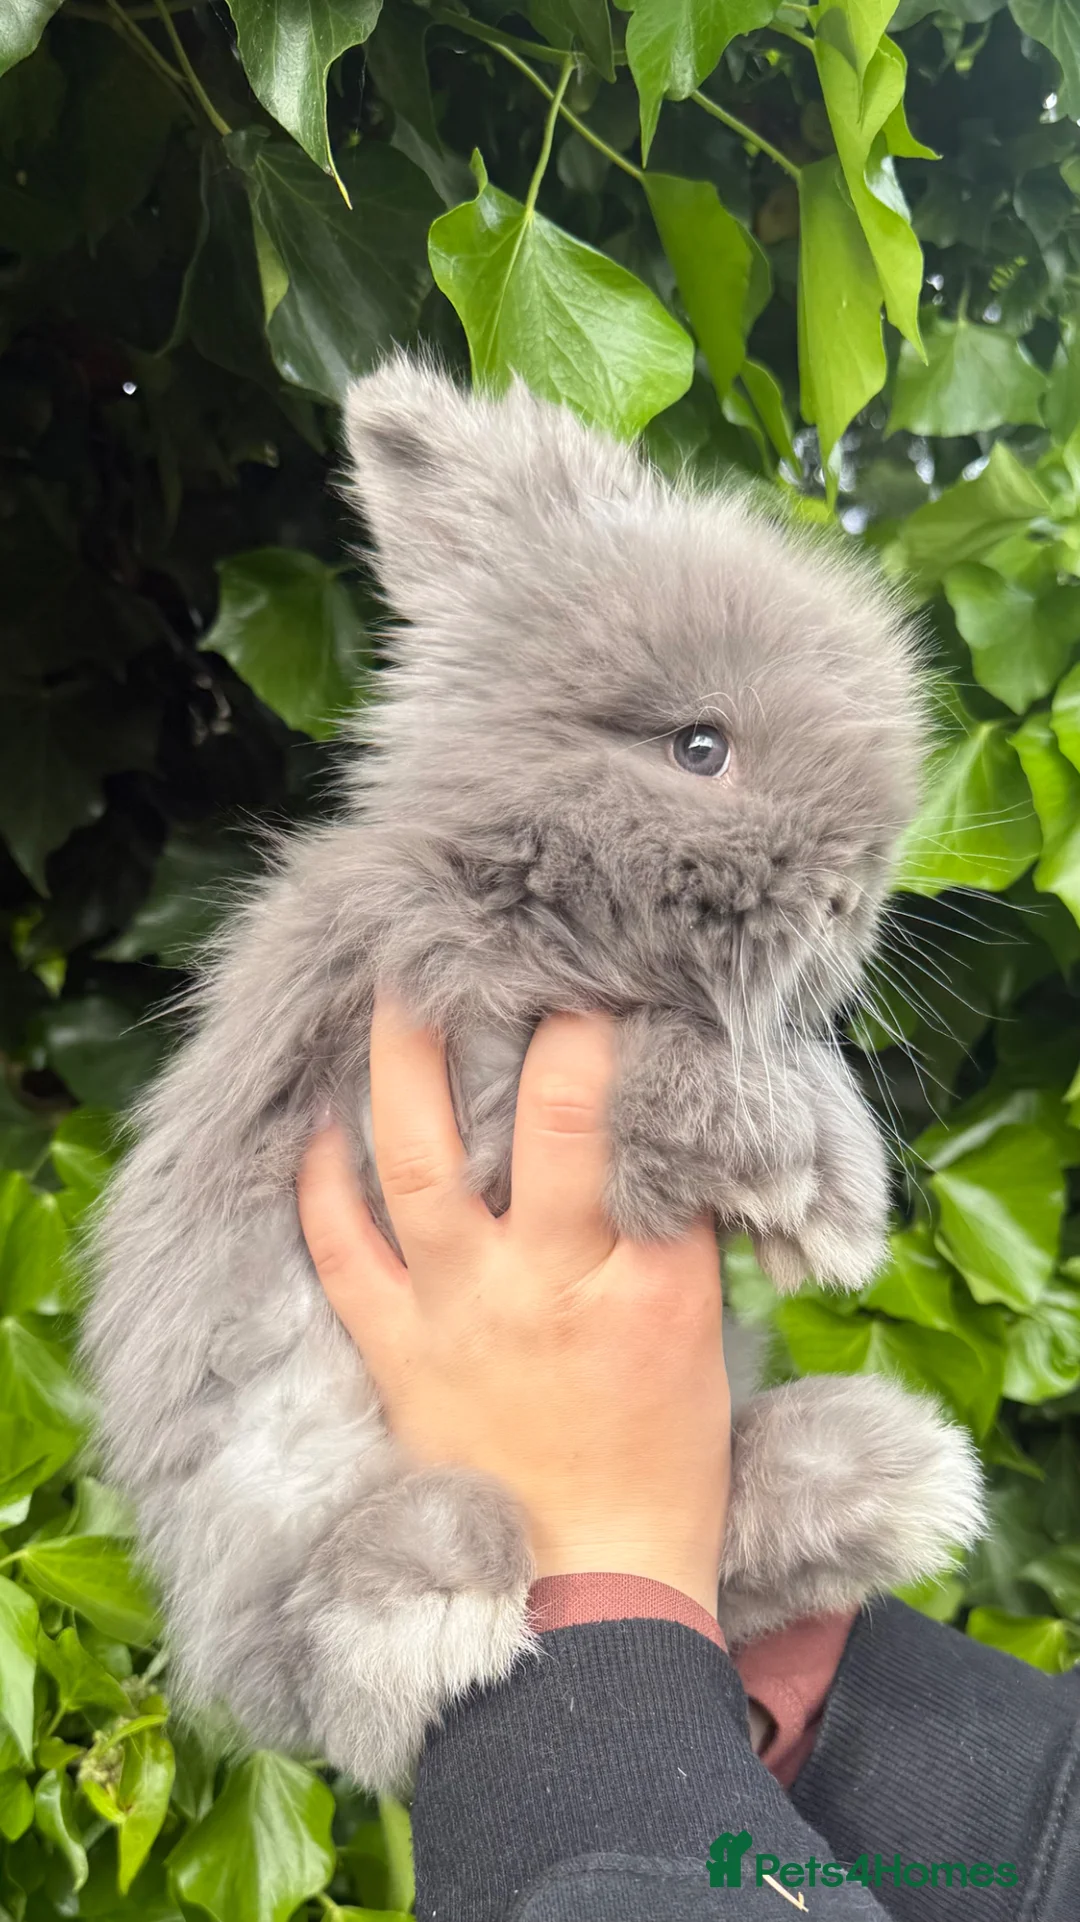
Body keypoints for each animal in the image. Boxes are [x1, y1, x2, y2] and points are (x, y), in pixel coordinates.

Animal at [84, 356, 983, 1790]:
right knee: (324, 1667)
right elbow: (664, 1066)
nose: (856, 893)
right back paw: (430, 1594)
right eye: (698, 747)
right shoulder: (469, 1068)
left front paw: (831, 1196)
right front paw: (799, 1182)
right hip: (265, 1501)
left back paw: (878, 1471)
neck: (516, 878)